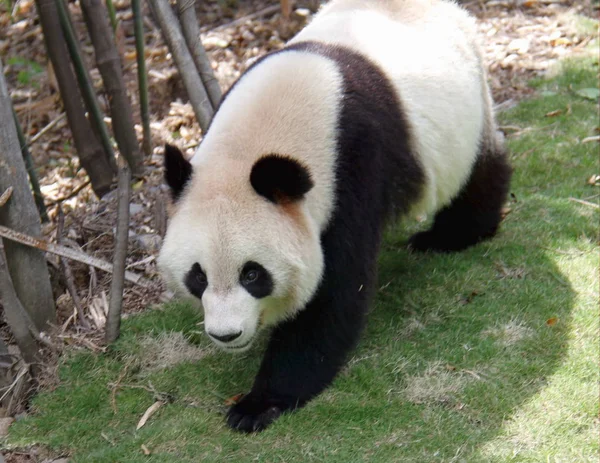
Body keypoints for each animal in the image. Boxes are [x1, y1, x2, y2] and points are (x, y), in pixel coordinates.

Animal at [158, 0, 510, 436]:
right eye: (198, 276)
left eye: (253, 274)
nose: (226, 334)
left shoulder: (351, 170)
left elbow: (334, 295)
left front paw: (258, 404)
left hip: (466, 104)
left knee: (476, 169)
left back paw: (450, 236)